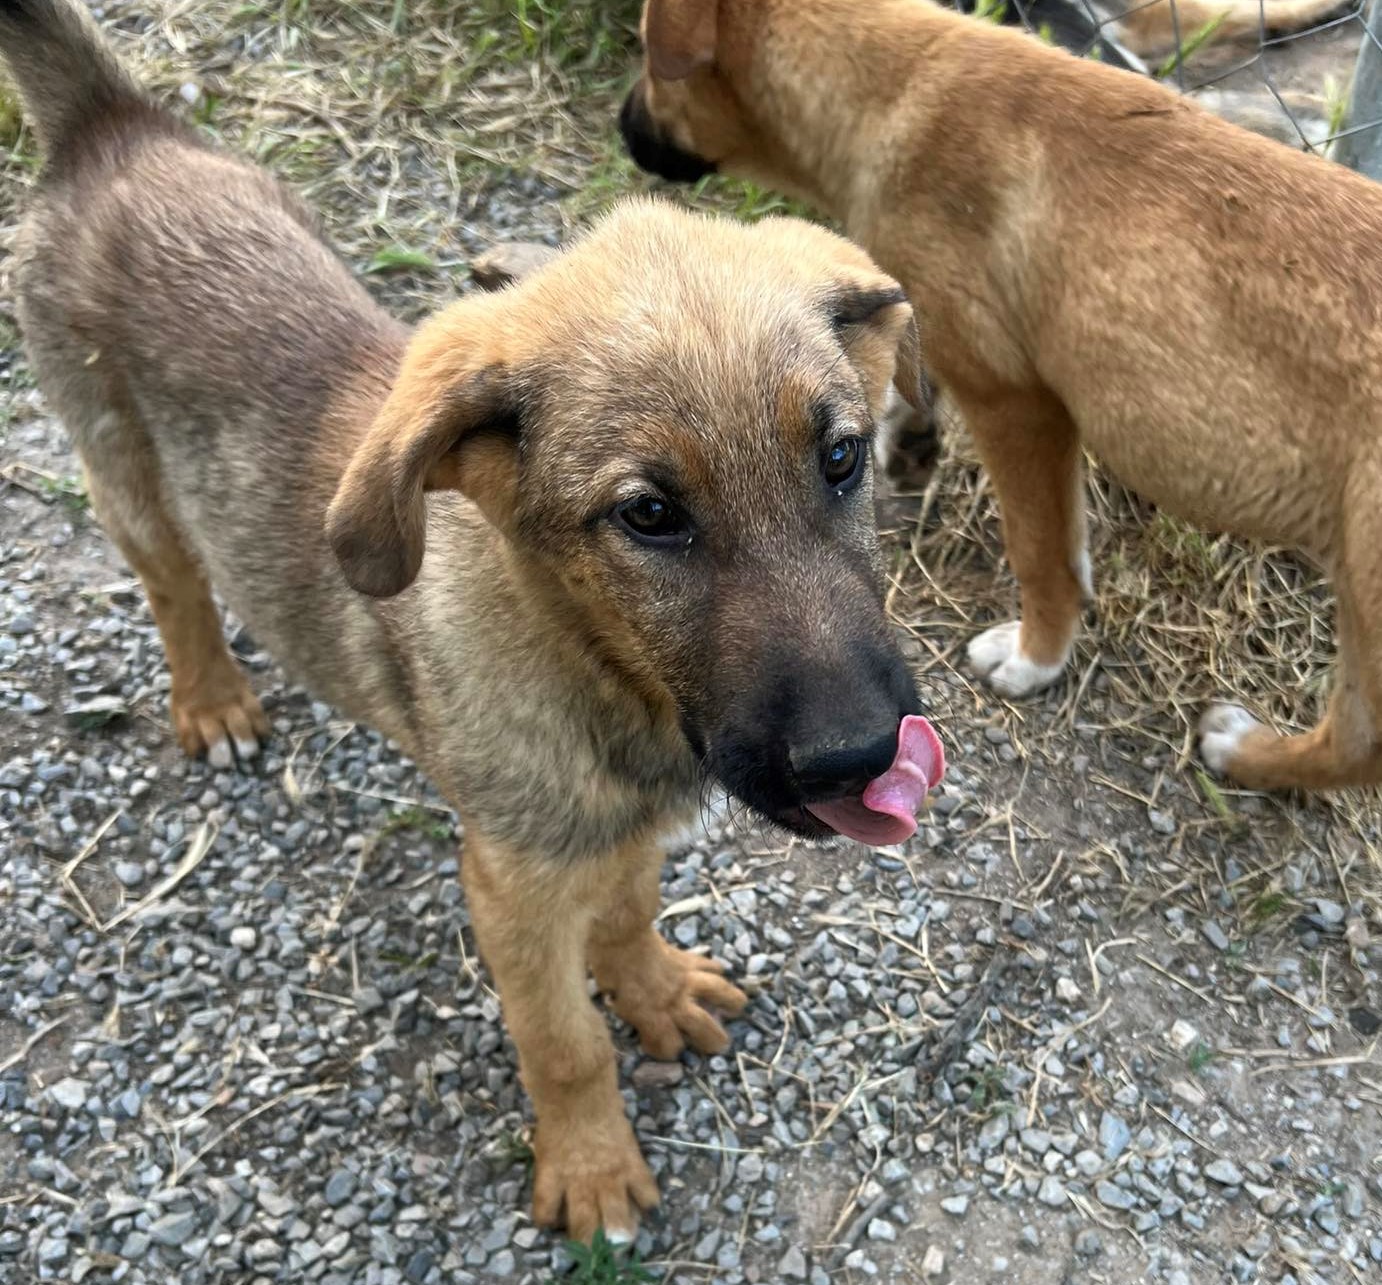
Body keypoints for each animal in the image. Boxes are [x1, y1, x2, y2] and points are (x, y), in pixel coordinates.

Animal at [2, 0, 950, 1243]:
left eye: (840, 458)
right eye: (649, 515)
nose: (863, 758)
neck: (601, 672)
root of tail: (108, 126)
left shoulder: (616, 832)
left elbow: (626, 915)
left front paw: (654, 990)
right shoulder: (512, 885)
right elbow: (563, 1040)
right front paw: (591, 1167)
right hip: (123, 471)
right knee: (175, 588)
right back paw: (211, 699)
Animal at [621, 0, 1382, 790]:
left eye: (647, 55)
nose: (622, 126)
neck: (900, 87)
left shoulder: (1016, 401)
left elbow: (1040, 552)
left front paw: (1035, 657)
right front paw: (903, 433)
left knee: (1359, 743)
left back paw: (1246, 751)